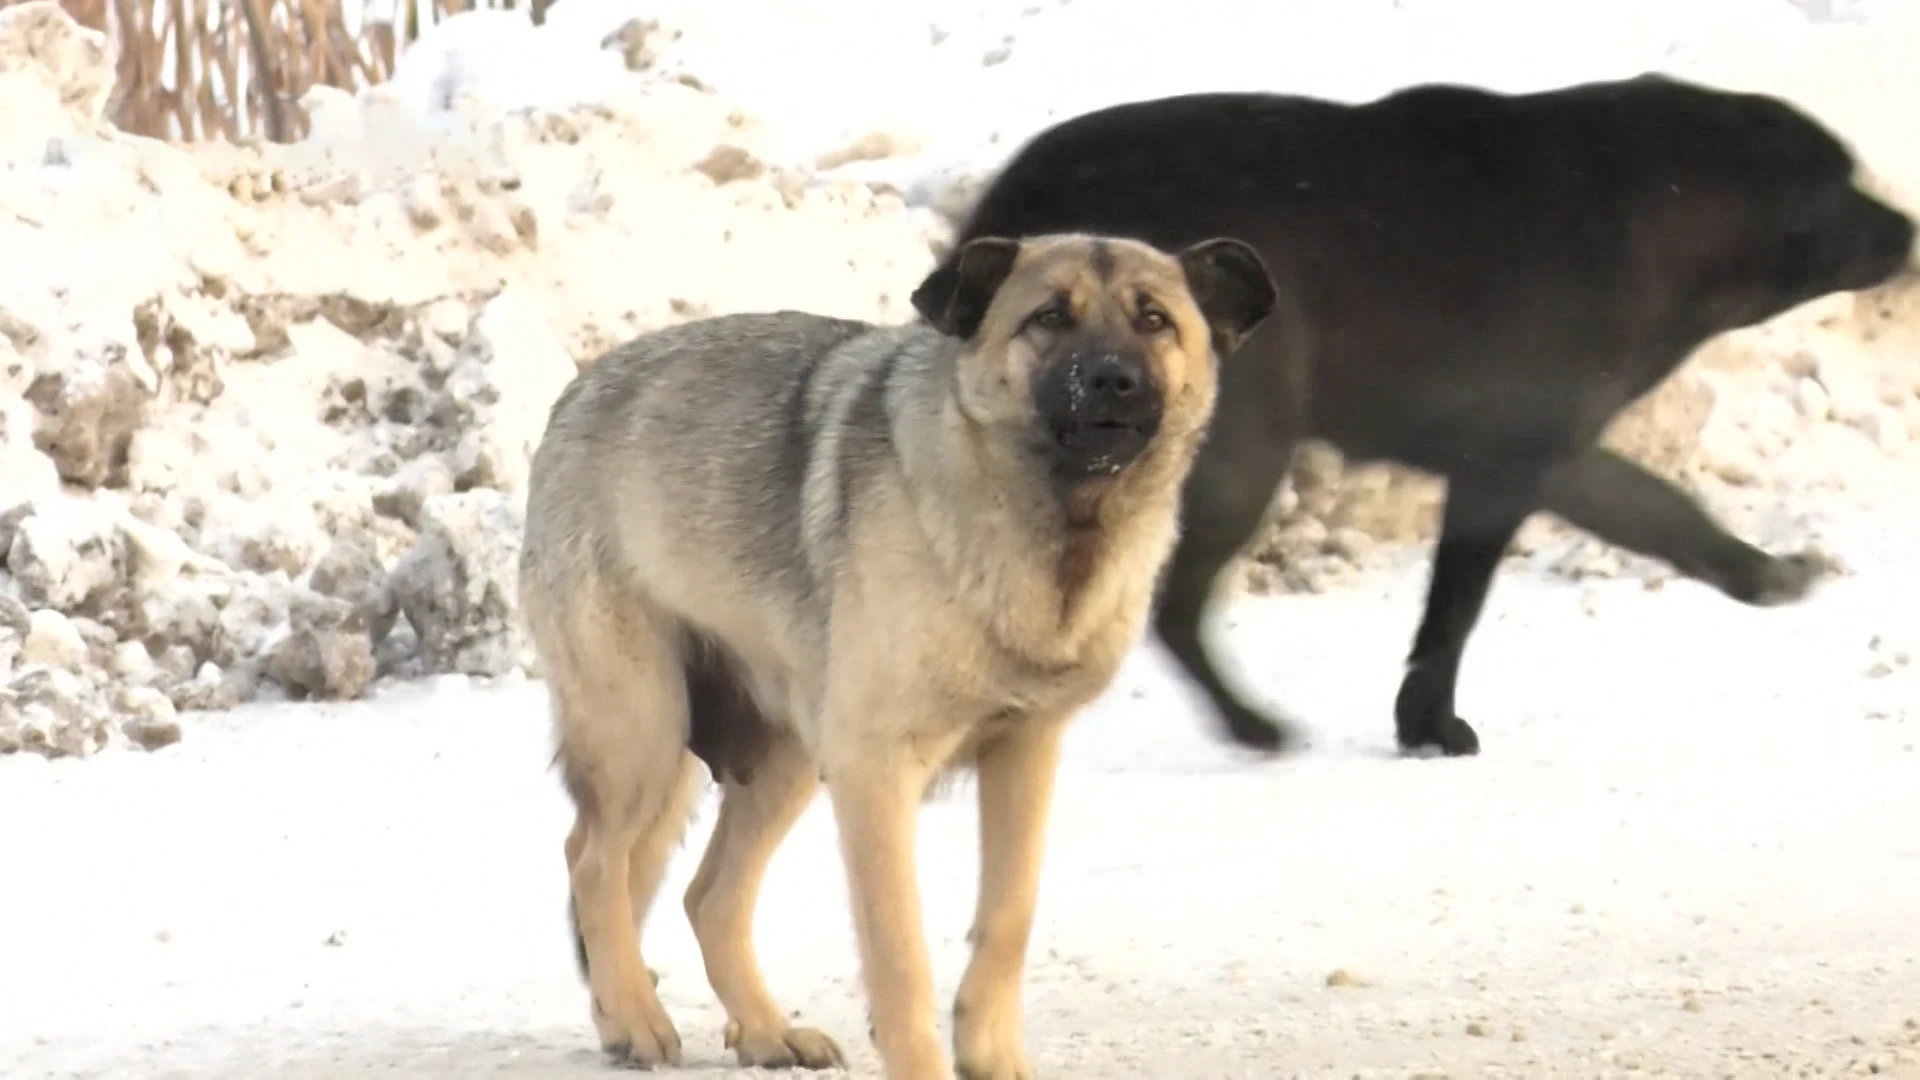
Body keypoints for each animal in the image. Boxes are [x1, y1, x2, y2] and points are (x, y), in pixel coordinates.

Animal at [518, 231, 1282, 1068]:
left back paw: (764, 1029)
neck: (1047, 525)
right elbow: (900, 953)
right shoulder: (876, 773)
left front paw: (991, 1057)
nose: (1112, 380)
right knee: (594, 862)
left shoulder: (1022, 754)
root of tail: (580, 391)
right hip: (644, 733)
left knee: (706, 895)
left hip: (782, 756)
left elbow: (1008, 916)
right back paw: (637, 1017)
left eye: (1154, 320)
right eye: (1049, 317)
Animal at [917, 73, 1920, 757]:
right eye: (1839, 178)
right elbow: (1455, 610)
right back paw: (1252, 726)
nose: (1908, 228)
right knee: (1175, 607)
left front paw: (1764, 573)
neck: (1661, 215)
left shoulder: (1545, 446)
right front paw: (1431, 724)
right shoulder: (1510, 456)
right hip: (1242, 452)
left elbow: (1665, 513)